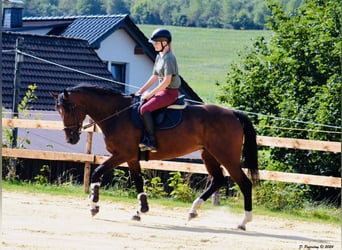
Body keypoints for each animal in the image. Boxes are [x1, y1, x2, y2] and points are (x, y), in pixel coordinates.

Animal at [51, 83, 260, 230]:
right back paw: (193, 211)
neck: (117, 114)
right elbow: (138, 182)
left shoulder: (121, 154)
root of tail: (232, 113)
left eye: (70, 108)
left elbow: (97, 172)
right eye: (58, 110)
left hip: (226, 156)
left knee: (244, 183)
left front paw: (94, 205)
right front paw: (141, 210)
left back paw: (244, 221)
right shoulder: (131, 157)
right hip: (208, 154)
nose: (71, 138)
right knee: (217, 180)